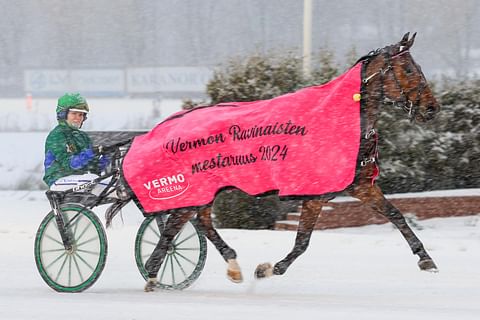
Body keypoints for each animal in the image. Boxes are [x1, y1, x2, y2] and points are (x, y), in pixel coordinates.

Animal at [119, 33, 438, 290]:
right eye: (409, 68)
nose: (432, 108)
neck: (343, 120)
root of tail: (173, 122)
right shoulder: (315, 195)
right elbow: (302, 242)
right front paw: (271, 269)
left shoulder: (358, 185)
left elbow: (396, 215)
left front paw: (425, 259)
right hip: (192, 190)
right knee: (173, 227)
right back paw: (152, 274)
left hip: (204, 192)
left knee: (202, 222)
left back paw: (229, 266)